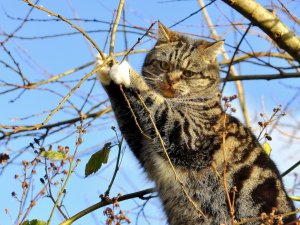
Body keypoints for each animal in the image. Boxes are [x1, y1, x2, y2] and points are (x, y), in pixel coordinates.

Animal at [96, 22, 296, 225]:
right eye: (164, 65)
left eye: (188, 73)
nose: (170, 80)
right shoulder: (143, 145)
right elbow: (127, 113)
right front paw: (105, 69)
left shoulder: (185, 132)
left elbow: (154, 101)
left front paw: (125, 71)